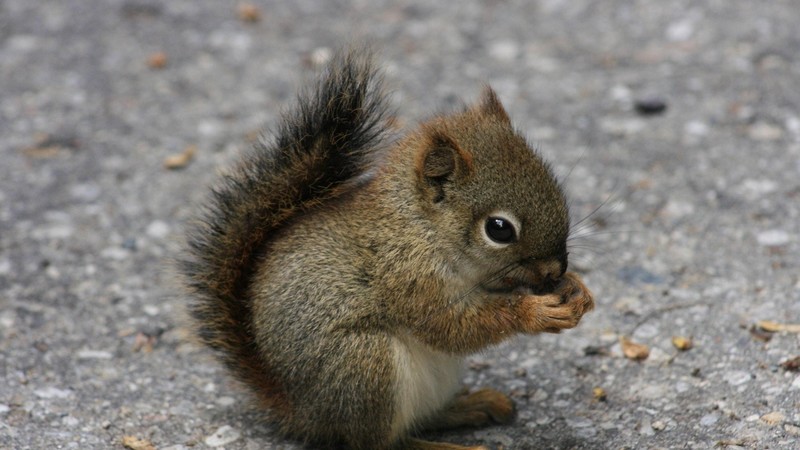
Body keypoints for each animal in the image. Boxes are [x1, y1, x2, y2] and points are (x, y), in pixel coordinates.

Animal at [181, 50, 594, 450]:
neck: (421, 228)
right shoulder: (407, 277)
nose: (555, 270)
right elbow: (451, 327)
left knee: (422, 419)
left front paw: (577, 289)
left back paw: (473, 406)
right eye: (499, 229)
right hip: (365, 365)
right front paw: (535, 312)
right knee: (382, 442)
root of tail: (302, 413)